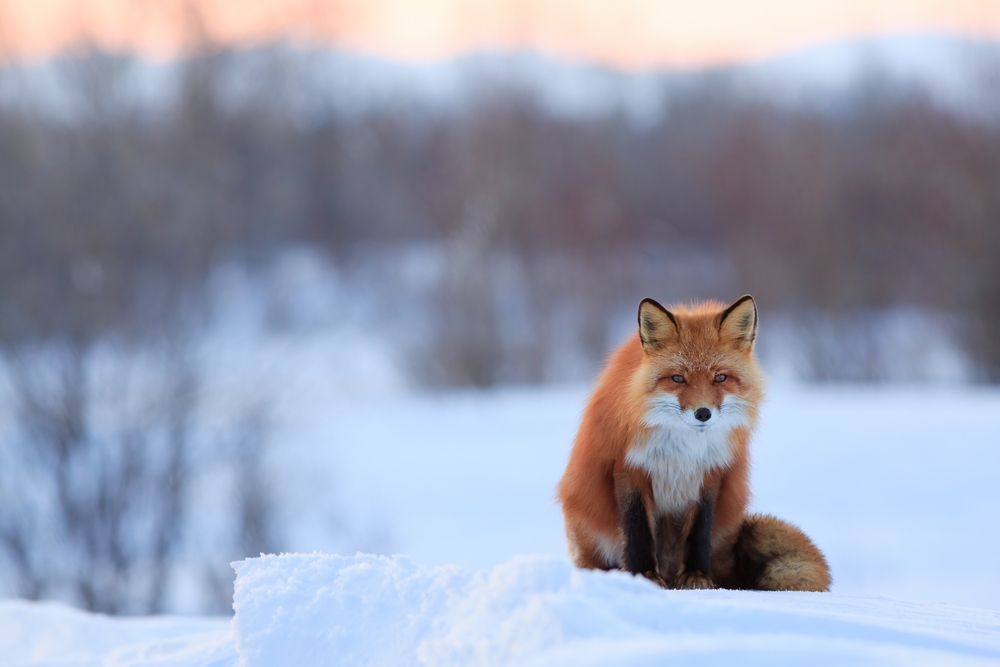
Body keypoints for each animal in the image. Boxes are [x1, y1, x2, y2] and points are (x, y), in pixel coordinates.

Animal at [557, 295, 830, 591]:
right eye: (678, 378)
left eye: (719, 377)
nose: (703, 413)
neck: (683, 450)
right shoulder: (630, 466)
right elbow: (638, 530)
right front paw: (644, 577)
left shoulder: (710, 472)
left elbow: (700, 531)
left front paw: (697, 576)